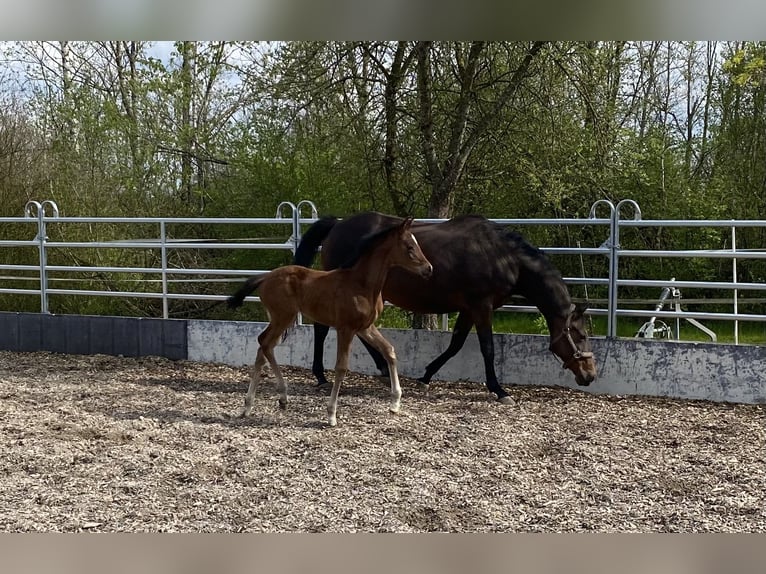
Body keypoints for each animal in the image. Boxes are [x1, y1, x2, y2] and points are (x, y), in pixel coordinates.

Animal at [226, 218, 432, 430]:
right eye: (409, 246)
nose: (429, 269)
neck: (362, 285)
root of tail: (265, 277)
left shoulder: (365, 328)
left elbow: (389, 350)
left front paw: (395, 403)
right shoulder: (345, 329)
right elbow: (341, 367)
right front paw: (331, 414)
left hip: (280, 319)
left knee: (263, 347)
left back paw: (255, 404)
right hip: (283, 317)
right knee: (265, 344)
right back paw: (275, 397)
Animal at [294, 213, 600, 404]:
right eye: (582, 335)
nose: (590, 375)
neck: (503, 255)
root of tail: (337, 225)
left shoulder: (468, 309)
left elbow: (455, 345)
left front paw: (425, 376)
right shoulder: (482, 306)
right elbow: (487, 348)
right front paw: (499, 390)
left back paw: (380, 368)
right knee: (323, 328)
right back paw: (321, 376)